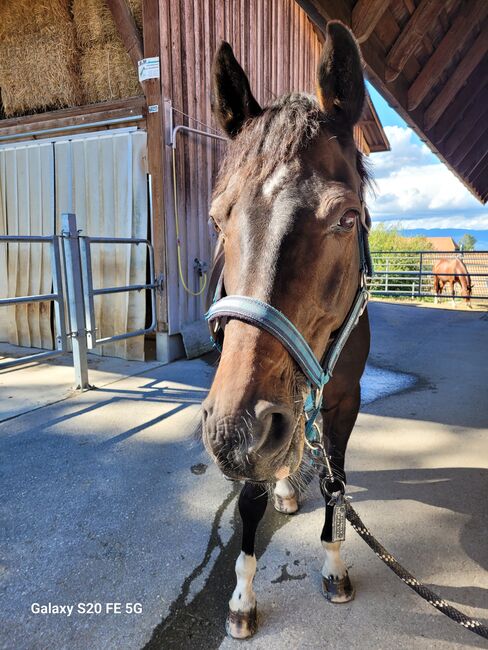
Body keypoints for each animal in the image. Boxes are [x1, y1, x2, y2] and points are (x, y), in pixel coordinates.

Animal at [202, 21, 370, 636]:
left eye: (348, 217)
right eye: (217, 217)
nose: (234, 432)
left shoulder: (345, 398)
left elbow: (335, 482)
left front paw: (334, 568)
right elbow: (248, 499)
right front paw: (242, 598)